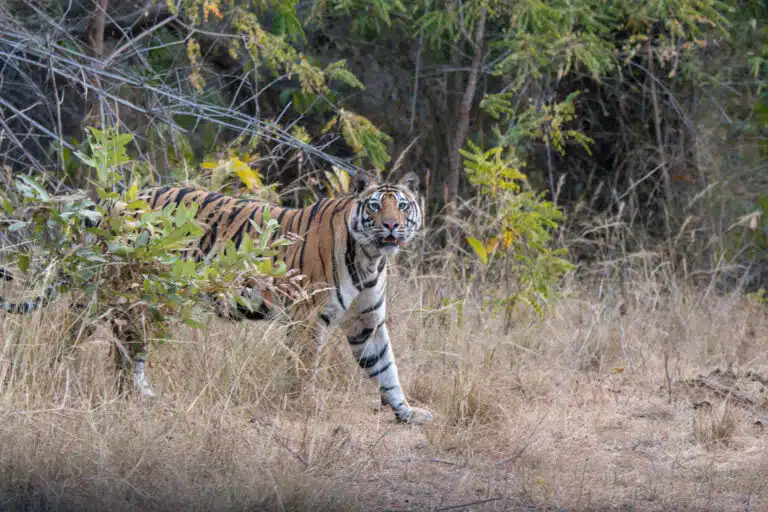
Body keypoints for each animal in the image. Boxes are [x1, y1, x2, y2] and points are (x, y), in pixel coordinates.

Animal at [0, 172, 433, 425]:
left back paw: (143, 395)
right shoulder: (307, 318)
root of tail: (117, 200)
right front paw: (307, 407)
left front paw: (407, 411)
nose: (391, 225)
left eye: (402, 205)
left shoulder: (366, 322)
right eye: (375, 206)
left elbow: (386, 368)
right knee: (90, 337)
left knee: (127, 349)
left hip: (154, 299)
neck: (371, 257)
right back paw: (86, 381)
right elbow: (304, 368)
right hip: (123, 293)